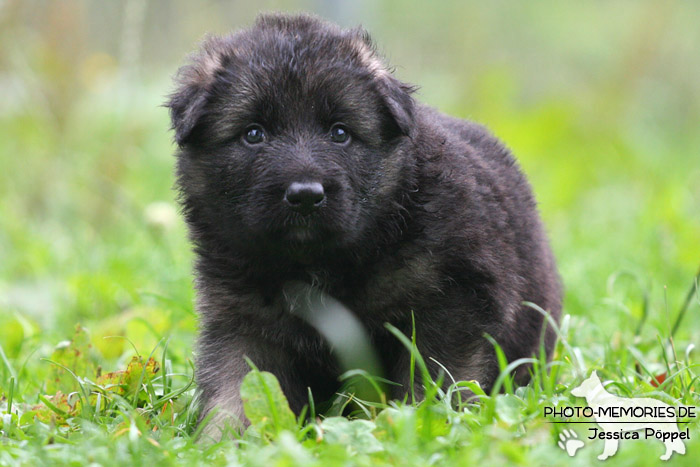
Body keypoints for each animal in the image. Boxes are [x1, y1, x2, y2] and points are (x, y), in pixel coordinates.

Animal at [168, 12, 564, 436]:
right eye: (253, 134)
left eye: (340, 132)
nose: (305, 194)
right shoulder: (242, 320)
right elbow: (234, 387)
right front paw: (224, 440)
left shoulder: (451, 306)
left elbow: (436, 379)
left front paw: (425, 426)